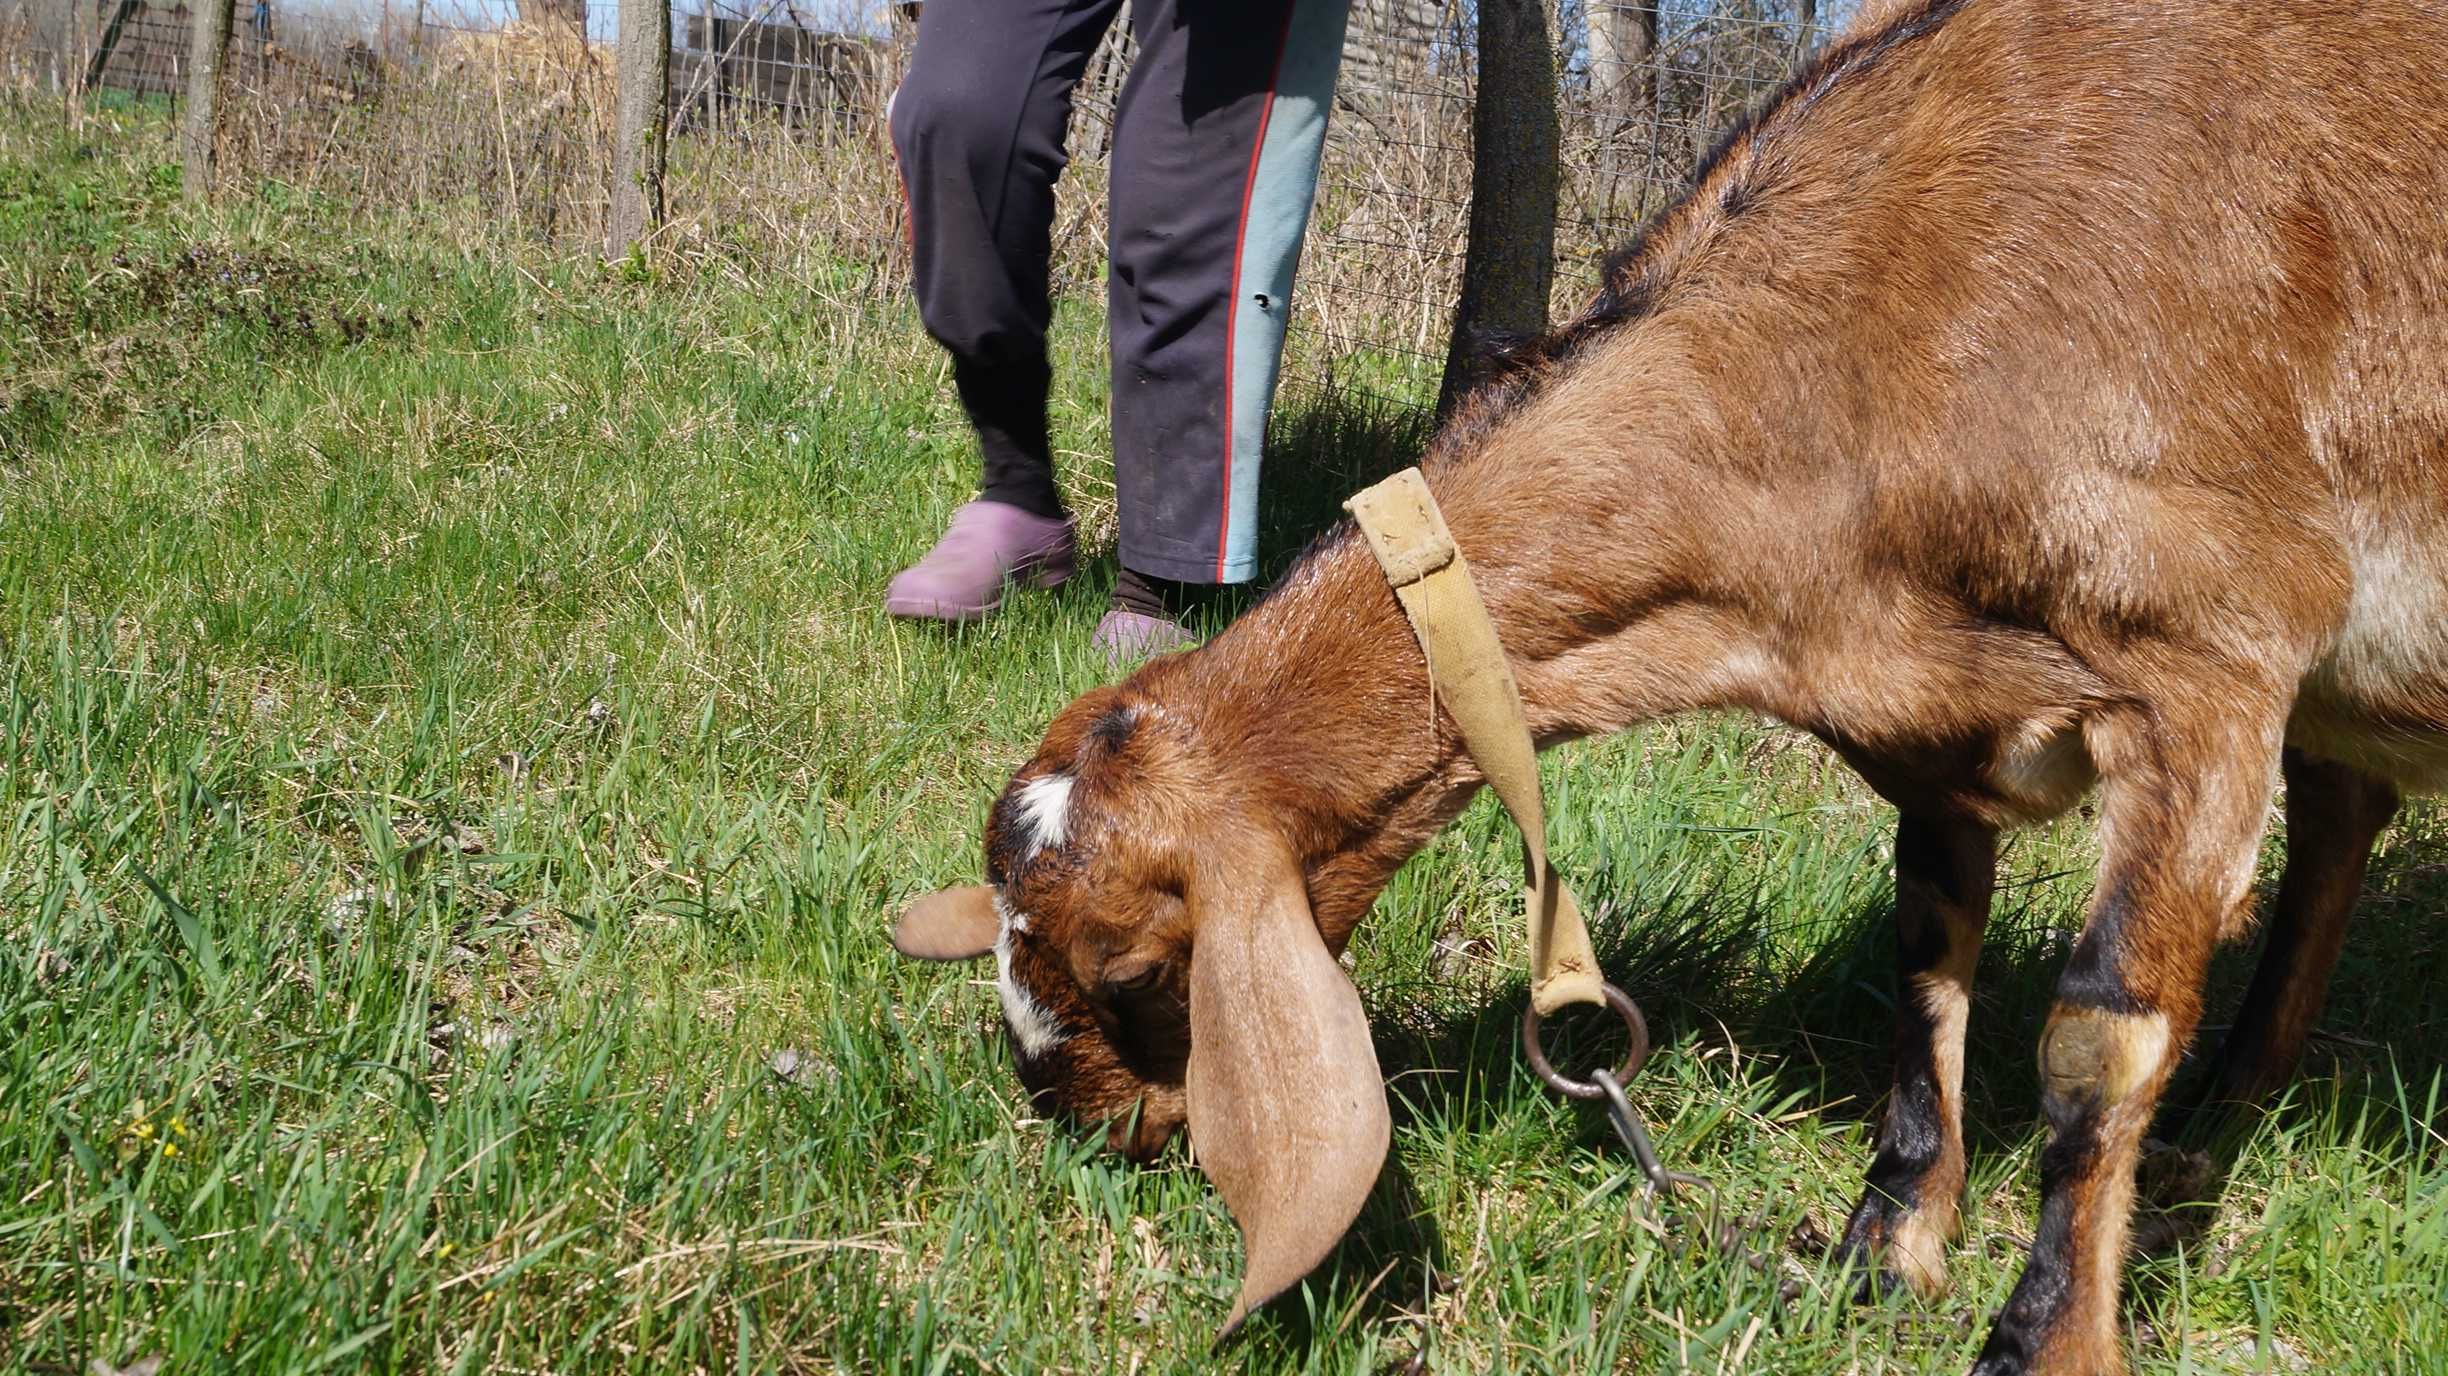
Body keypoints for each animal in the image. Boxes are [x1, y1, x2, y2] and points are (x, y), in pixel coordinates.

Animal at [891, 5, 2448, 1361]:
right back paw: (2215, 1123)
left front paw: (2042, 1337)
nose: (1082, 1121)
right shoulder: (1929, 721)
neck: (1863, 349)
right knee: (2345, 815)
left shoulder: (2210, 662)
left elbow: (2096, 1037)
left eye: (1136, 967)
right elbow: (1924, 966)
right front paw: (1885, 1249)